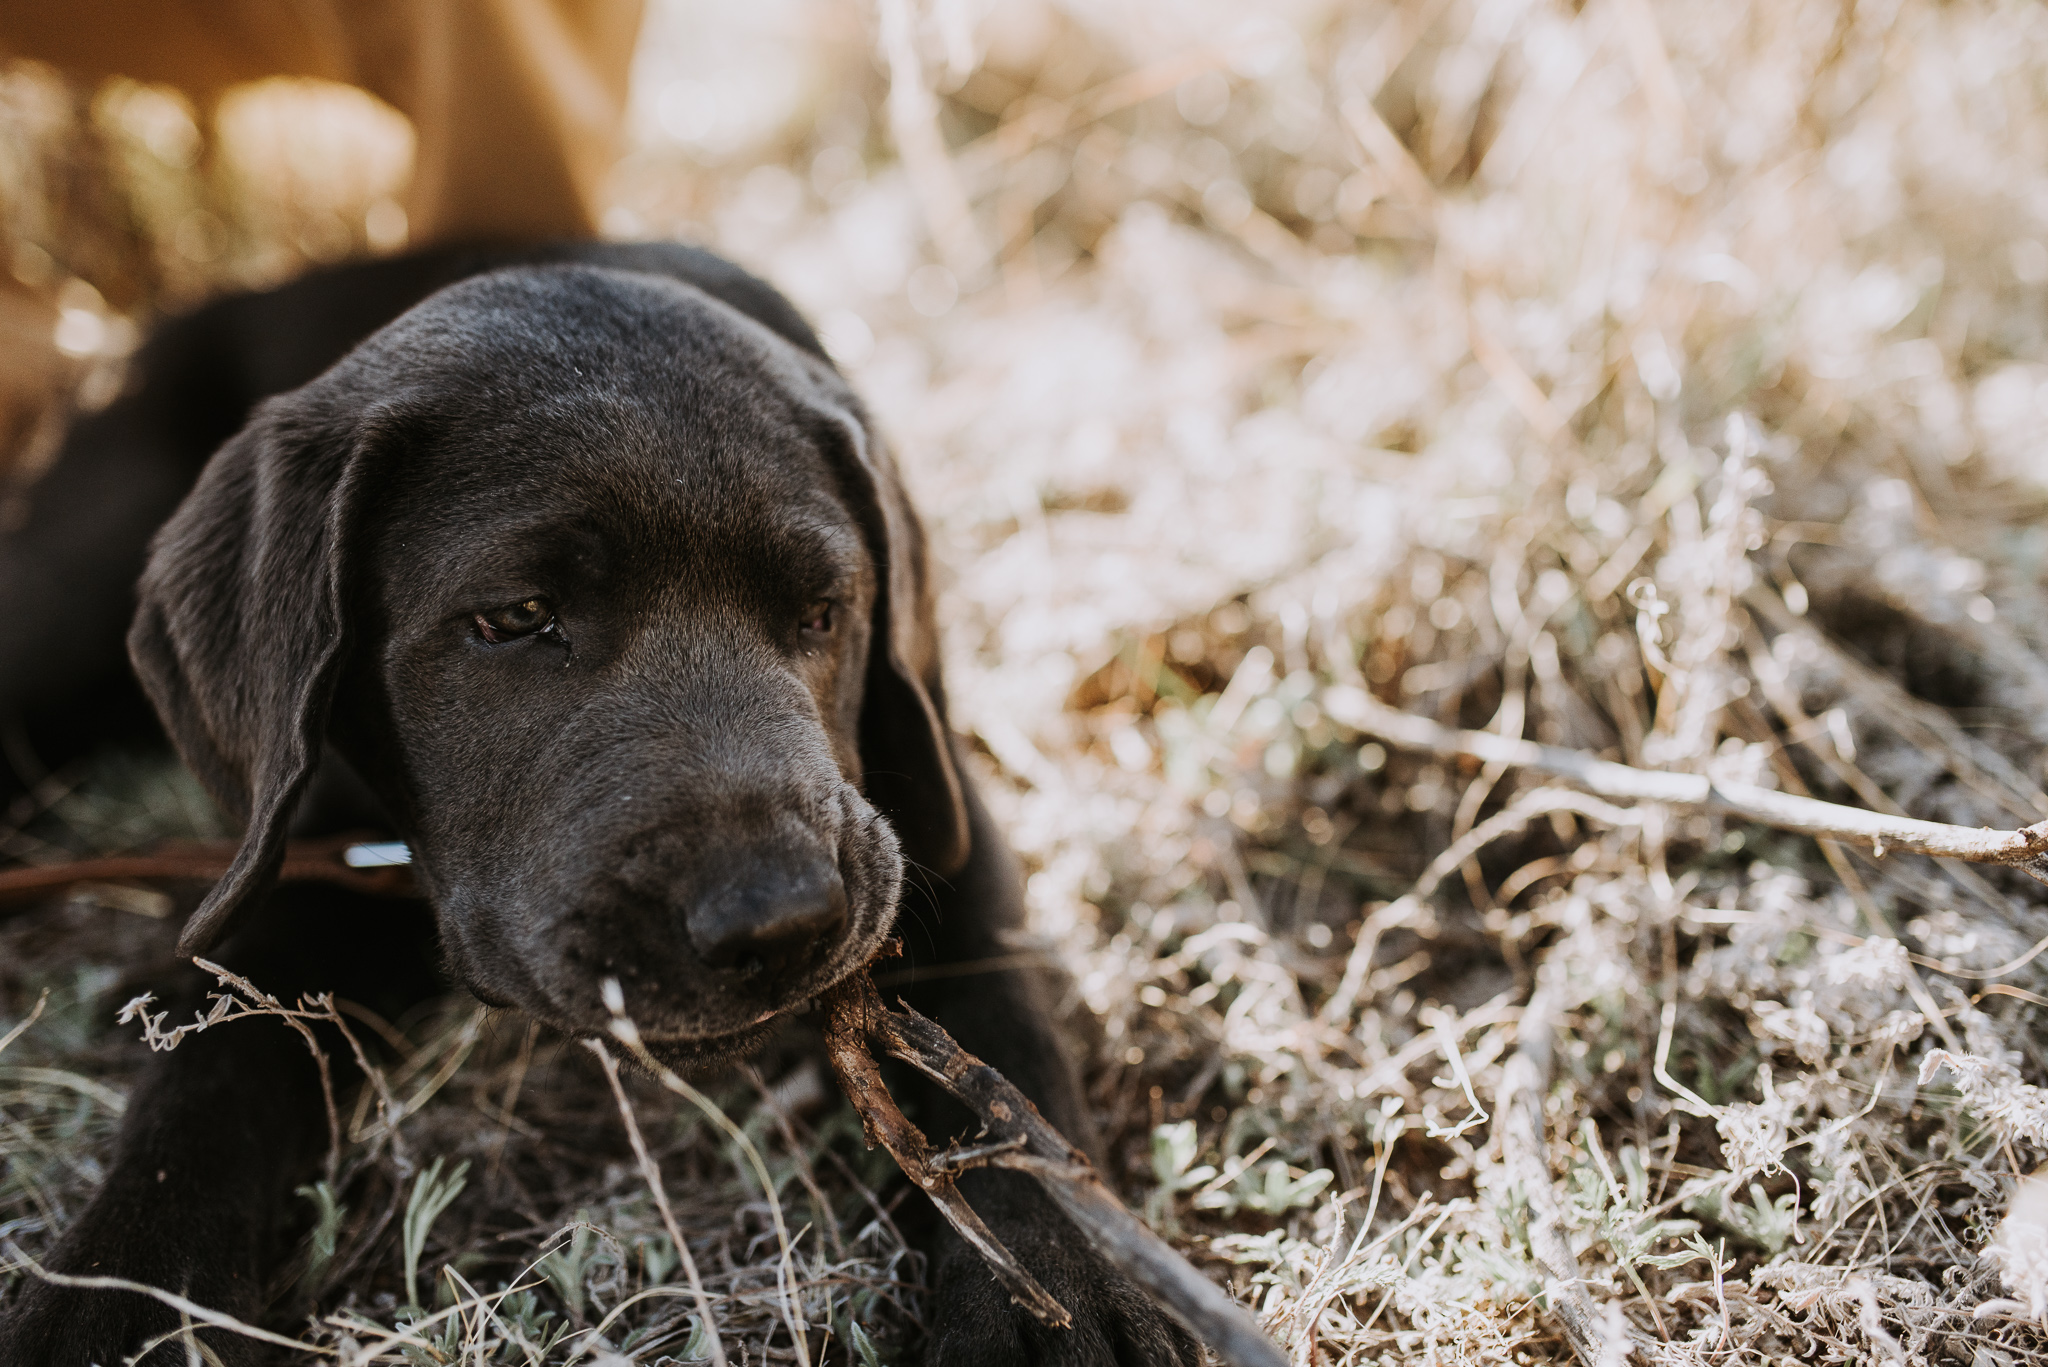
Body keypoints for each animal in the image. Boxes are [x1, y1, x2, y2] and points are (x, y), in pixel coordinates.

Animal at [0, 245, 1196, 1367]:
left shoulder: (929, 801)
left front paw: (1063, 1290)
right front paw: (122, 1296)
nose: (780, 919)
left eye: (824, 610)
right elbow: (210, 1069)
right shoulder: (301, 853)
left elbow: (1008, 1044)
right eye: (517, 616)